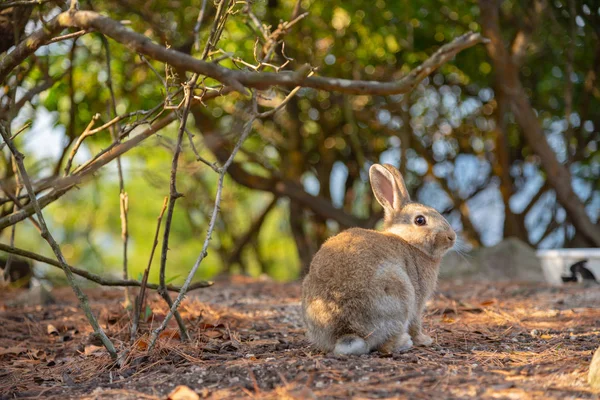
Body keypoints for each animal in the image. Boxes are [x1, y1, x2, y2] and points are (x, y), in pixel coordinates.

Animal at [302, 162, 458, 354]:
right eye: (420, 220)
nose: (451, 237)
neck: (410, 242)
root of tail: (346, 331)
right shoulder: (418, 301)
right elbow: (416, 324)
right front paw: (424, 340)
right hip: (399, 291)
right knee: (386, 344)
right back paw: (404, 343)